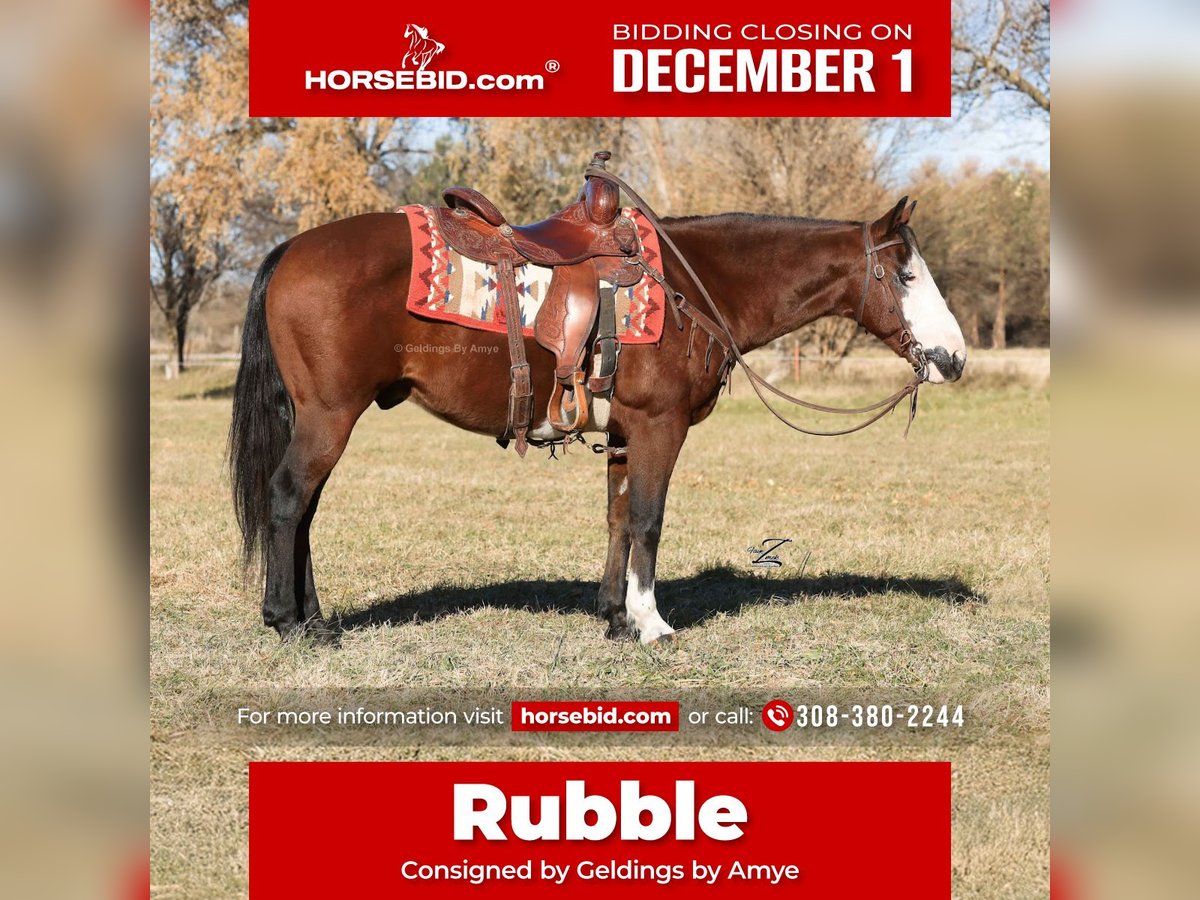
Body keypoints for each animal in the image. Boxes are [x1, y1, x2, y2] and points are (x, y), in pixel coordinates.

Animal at [229, 194, 967, 646]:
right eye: (905, 275)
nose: (953, 358)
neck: (692, 287)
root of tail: (291, 250)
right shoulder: (660, 426)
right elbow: (648, 519)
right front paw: (650, 622)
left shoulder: (622, 433)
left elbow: (617, 518)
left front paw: (614, 616)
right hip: (328, 418)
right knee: (289, 499)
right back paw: (287, 622)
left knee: (304, 511)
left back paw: (314, 619)